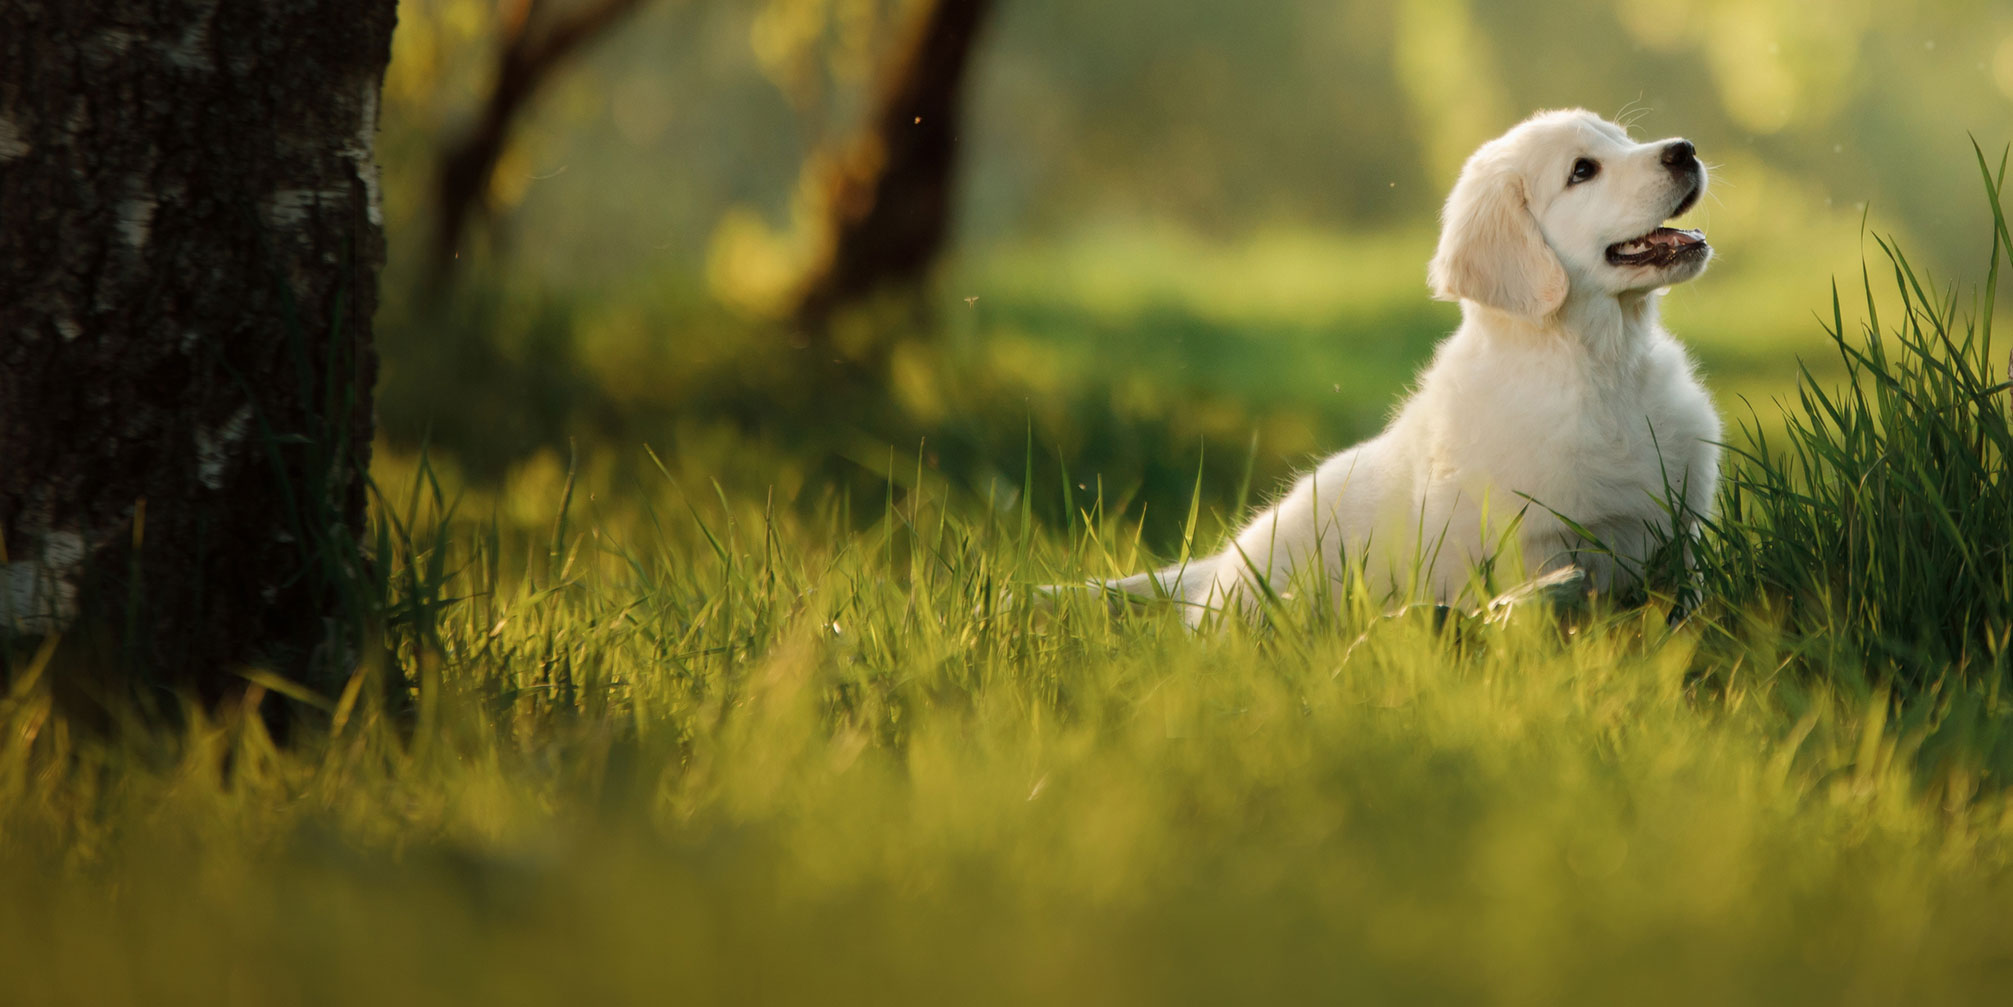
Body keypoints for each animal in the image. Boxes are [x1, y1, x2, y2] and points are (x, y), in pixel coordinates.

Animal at [1095, 106, 1723, 616]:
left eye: (1623, 138)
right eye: (1582, 171)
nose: (1684, 149)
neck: (1601, 362)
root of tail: (1214, 570)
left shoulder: (1677, 534)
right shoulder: (1533, 550)